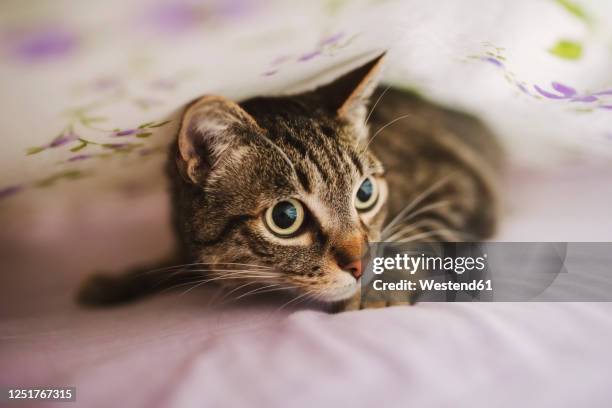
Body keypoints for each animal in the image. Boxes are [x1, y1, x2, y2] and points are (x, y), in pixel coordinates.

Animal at [76, 52, 502, 310]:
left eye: (365, 193)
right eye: (285, 217)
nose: (360, 265)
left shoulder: (454, 179)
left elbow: (419, 232)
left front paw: (381, 286)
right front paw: (120, 282)